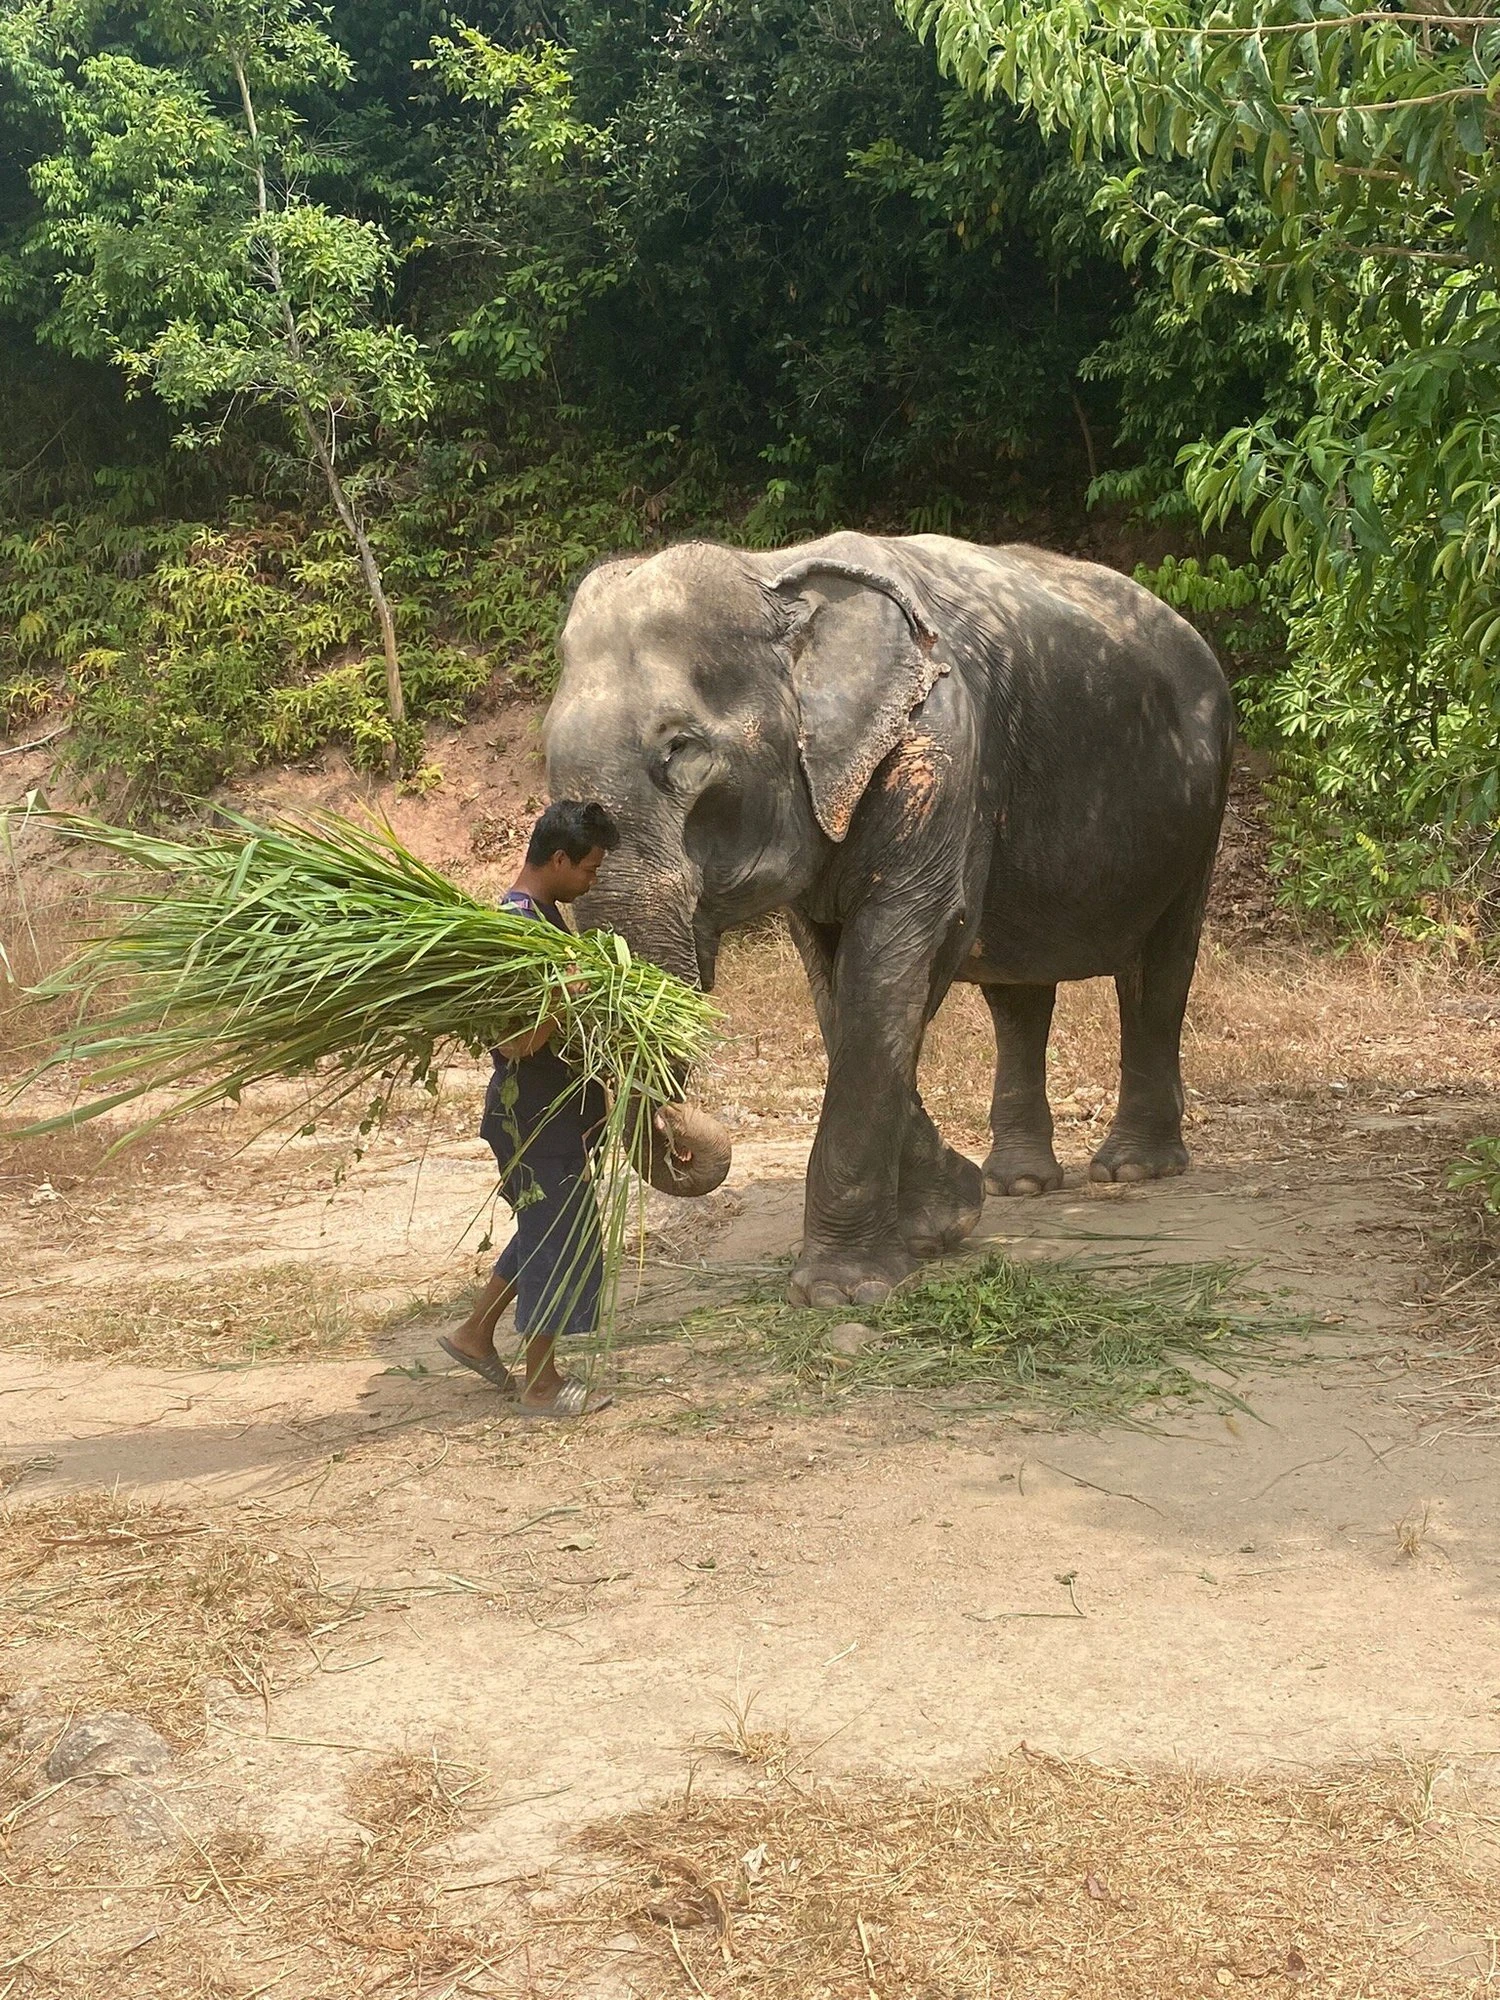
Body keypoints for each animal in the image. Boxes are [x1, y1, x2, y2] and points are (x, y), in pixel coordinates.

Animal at [544, 530, 1234, 1308]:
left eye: (679, 749)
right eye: (545, 756)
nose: (693, 1136)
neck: (773, 572)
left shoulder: (942, 749)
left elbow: (893, 957)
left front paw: (844, 1291)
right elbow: (836, 982)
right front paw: (946, 1220)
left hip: (1198, 814)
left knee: (1159, 968)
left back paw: (1133, 1170)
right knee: (1018, 993)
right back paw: (1018, 1182)